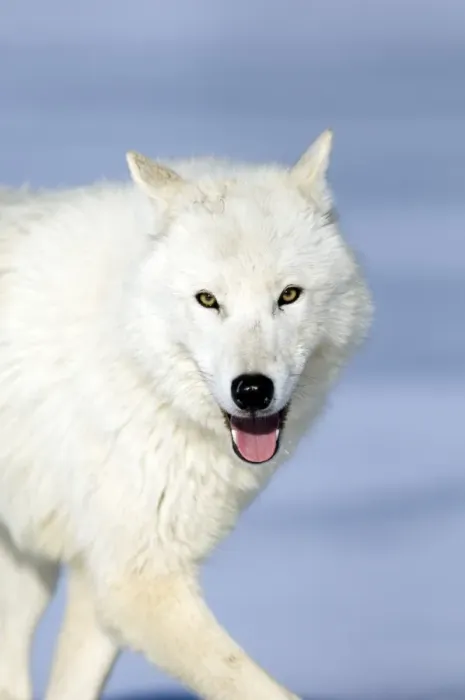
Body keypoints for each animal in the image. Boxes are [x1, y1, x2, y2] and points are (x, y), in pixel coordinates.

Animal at [0, 130, 372, 700]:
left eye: (288, 295)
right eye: (207, 299)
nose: (252, 391)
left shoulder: (105, 570)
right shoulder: (137, 576)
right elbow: (250, 682)